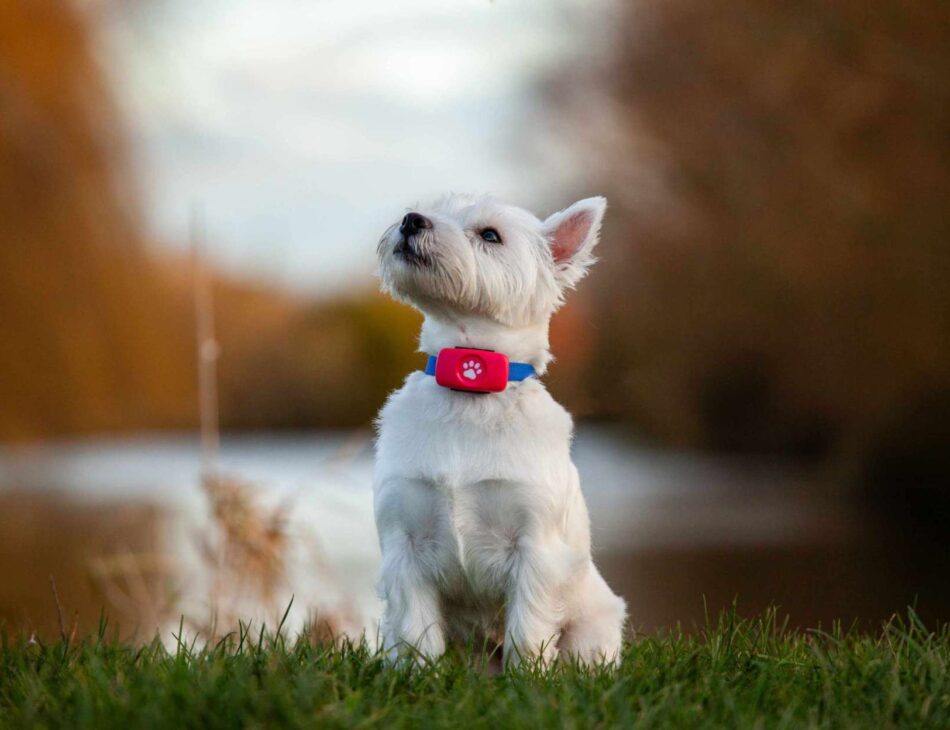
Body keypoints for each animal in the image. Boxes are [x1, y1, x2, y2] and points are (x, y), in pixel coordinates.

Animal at [376, 193, 628, 664]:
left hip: (593, 627)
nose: (410, 220)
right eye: (431, 208)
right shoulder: (405, 543)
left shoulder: (535, 550)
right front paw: (418, 675)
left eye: (490, 235)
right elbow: (416, 632)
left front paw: (527, 677)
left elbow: (528, 631)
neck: (469, 389)